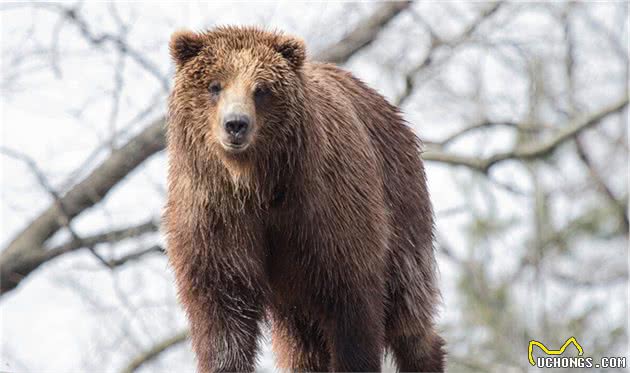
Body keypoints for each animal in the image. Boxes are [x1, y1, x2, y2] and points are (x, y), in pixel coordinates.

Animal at [165, 26, 446, 372]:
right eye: (215, 85)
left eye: (261, 89)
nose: (236, 125)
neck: (257, 184)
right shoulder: (217, 219)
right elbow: (222, 314)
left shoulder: (325, 215)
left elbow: (353, 312)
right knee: (302, 344)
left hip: (400, 206)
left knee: (408, 307)